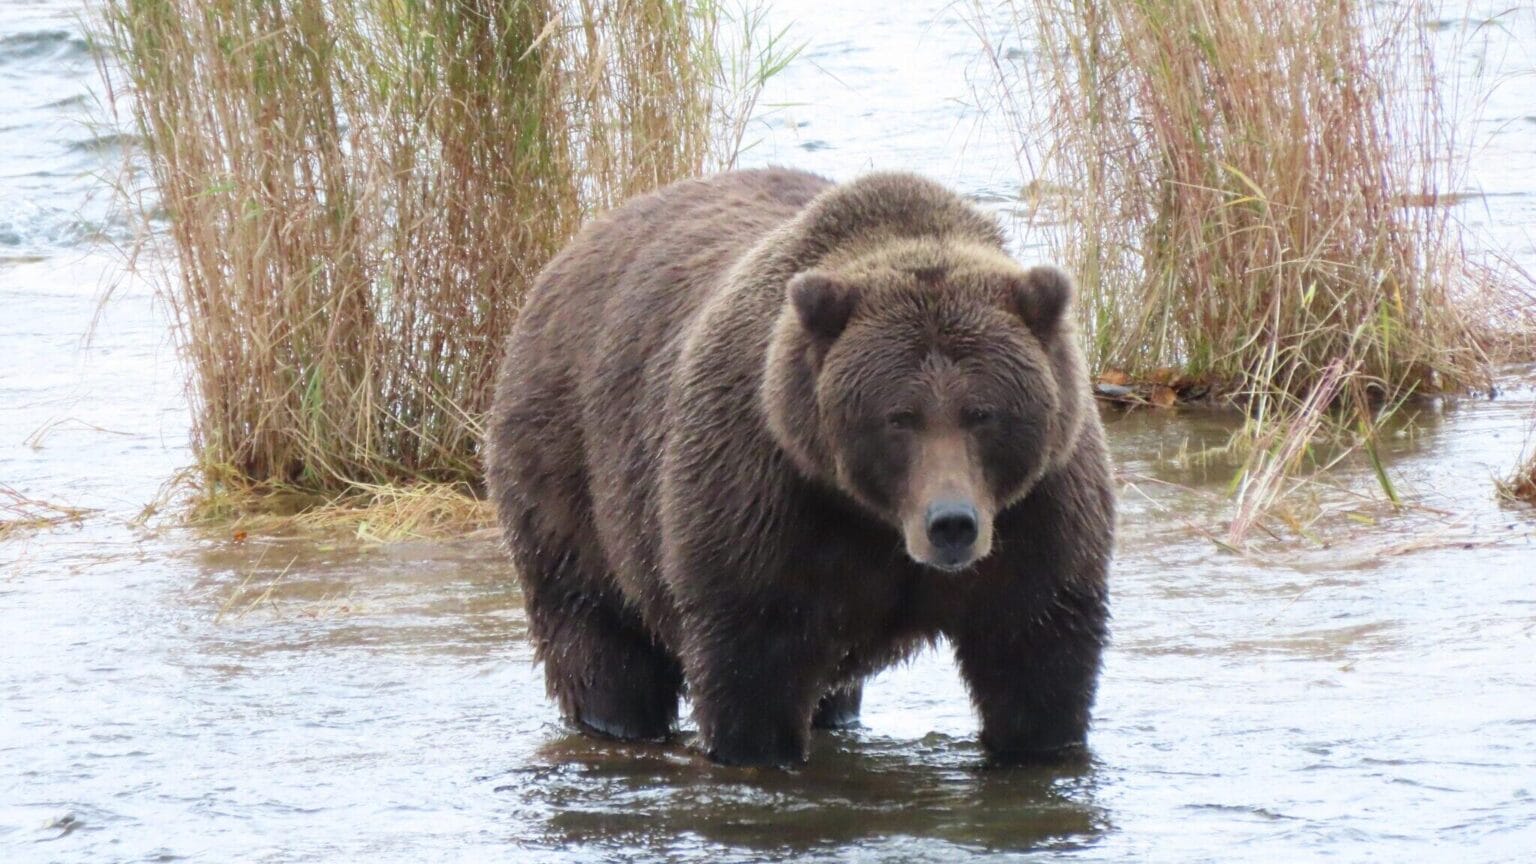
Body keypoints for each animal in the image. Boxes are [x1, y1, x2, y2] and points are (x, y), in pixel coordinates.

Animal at [485, 167, 1114, 767]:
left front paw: (1037, 744)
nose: (952, 524)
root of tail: (572, 251)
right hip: (570, 478)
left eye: (983, 413)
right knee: (600, 639)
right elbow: (754, 669)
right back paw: (615, 719)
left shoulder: (1040, 513)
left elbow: (1036, 661)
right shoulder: (764, 498)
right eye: (899, 416)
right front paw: (758, 749)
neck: (874, 519)